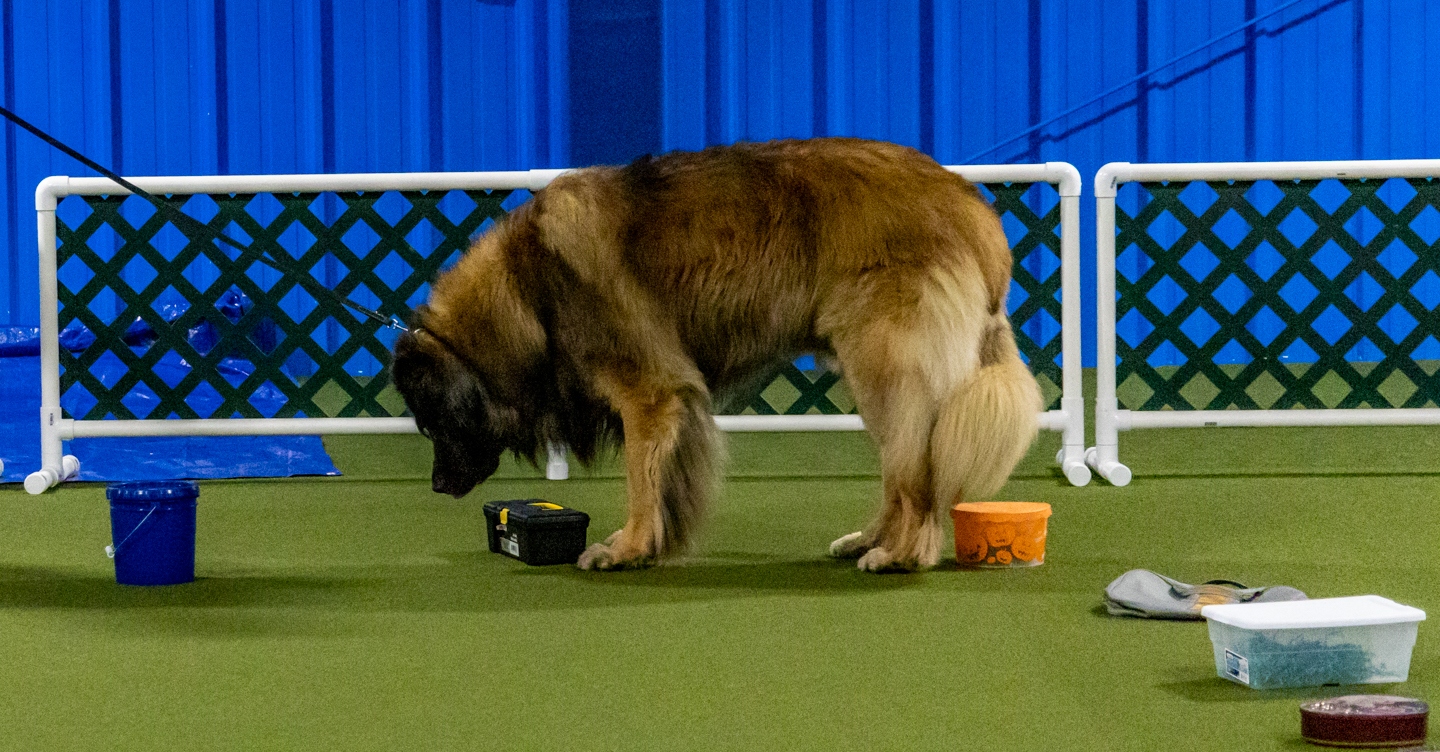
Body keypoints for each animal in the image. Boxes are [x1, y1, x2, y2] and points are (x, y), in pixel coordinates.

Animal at [390, 137, 1042, 572]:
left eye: (435, 423)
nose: (437, 486)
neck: (526, 288)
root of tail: (970, 204)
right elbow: (667, 477)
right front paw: (651, 546)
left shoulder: (648, 392)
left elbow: (641, 479)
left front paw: (627, 547)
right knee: (900, 462)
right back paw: (870, 540)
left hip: (887, 363)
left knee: (915, 470)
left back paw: (904, 554)